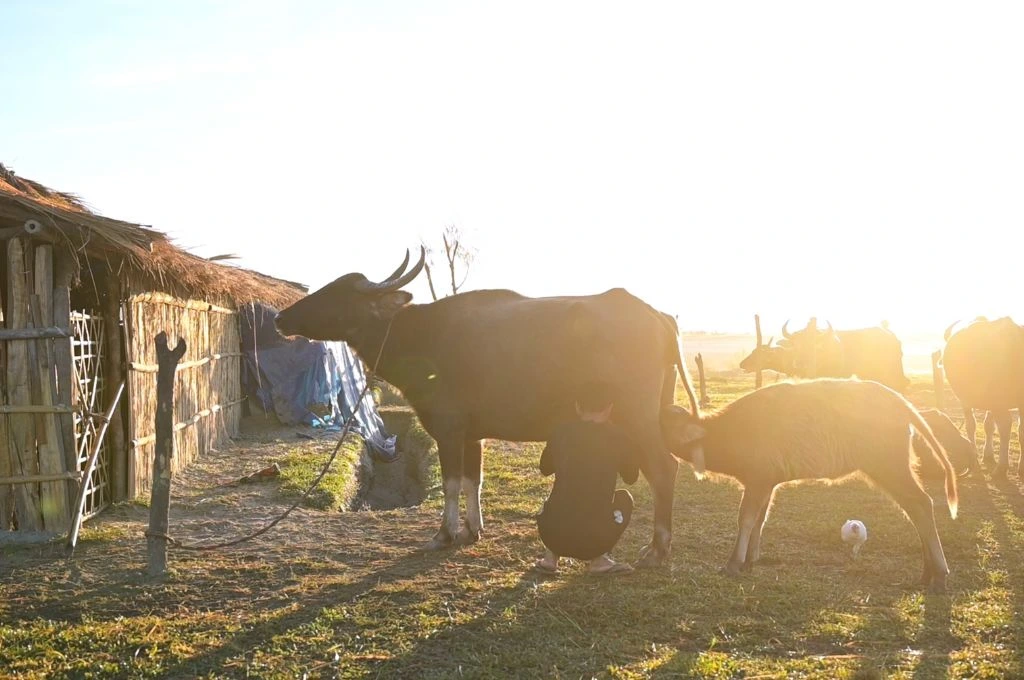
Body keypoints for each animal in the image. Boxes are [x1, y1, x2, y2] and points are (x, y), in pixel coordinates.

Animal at [273, 247, 701, 566]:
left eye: (337, 293)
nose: (280, 316)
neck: (420, 337)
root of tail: (659, 317)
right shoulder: (473, 434)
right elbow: (472, 480)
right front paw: (473, 530)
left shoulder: (448, 428)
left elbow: (450, 482)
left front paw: (444, 534)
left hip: (638, 416)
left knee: (664, 468)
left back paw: (657, 549)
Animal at [660, 378, 959, 593]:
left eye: (667, 424)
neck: (727, 431)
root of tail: (899, 401)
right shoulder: (766, 484)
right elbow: (760, 520)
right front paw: (749, 560)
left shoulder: (757, 480)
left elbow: (745, 519)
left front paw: (733, 563)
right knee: (915, 509)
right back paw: (927, 572)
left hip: (888, 466)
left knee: (921, 504)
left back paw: (940, 574)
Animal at [941, 316, 1024, 479]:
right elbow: (988, 425)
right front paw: (988, 455)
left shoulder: (965, 401)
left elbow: (971, 425)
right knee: (1019, 429)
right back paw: (1020, 468)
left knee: (1005, 426)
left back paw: (1001, 467)